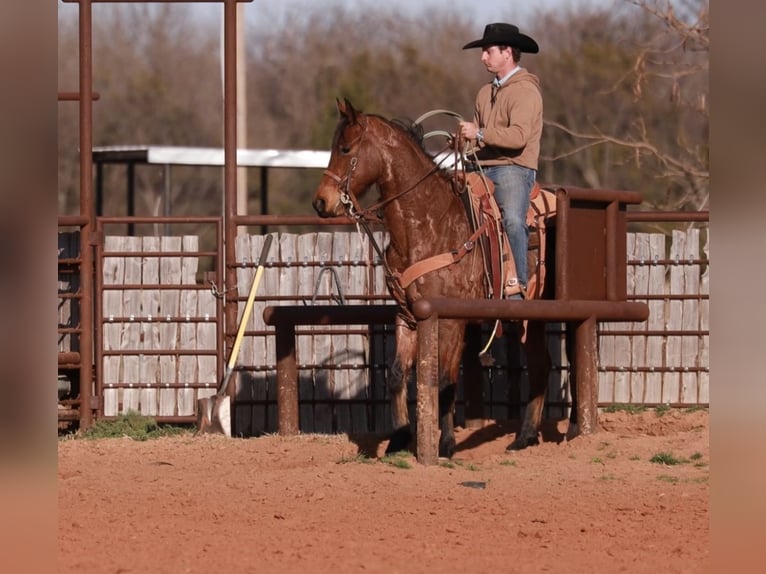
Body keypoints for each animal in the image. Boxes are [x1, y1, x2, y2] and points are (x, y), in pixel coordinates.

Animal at [312, 98, 575, 458]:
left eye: (345, 148)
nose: (320, 202)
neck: (429, 223)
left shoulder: (451, 320)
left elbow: (444, 380)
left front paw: (445, 443)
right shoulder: (408, 315)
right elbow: (398, 375)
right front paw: (399, 439)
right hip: (530, 321)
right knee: (539, 365)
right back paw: (525, 437)